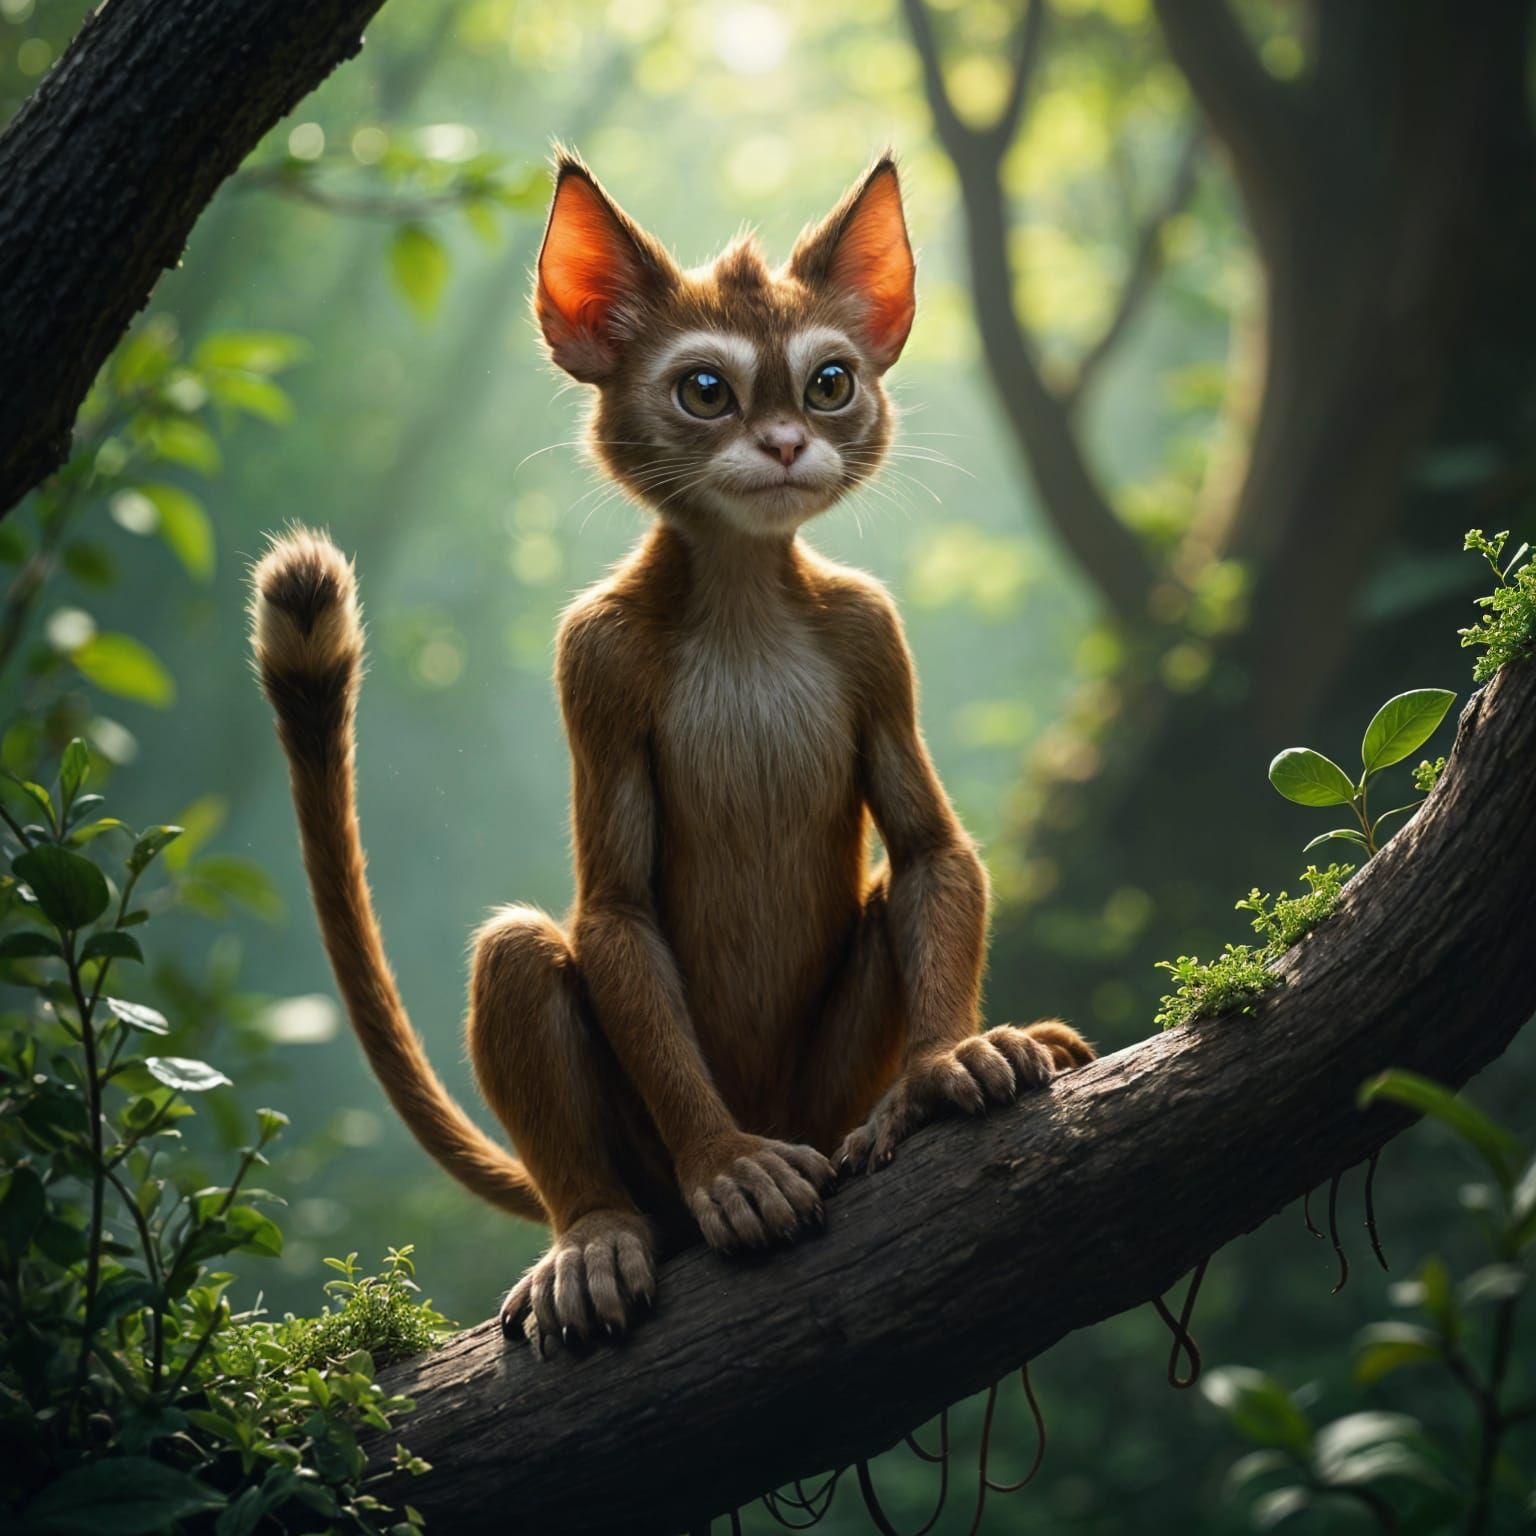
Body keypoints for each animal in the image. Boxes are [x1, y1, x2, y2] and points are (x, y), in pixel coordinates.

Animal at [249, 151, 1094, 1350]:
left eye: (829, 383)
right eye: (705, 390)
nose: (786, 444)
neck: (742, 599)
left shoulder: (873, 634)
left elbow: (930, 851)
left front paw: (945, 1063)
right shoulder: (592, 662)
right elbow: (616, 911)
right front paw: (728, 1166)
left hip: (818, 1093)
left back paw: (889, 1113)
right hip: (634, 1147)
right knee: (518, 951)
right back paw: (596, 1228)